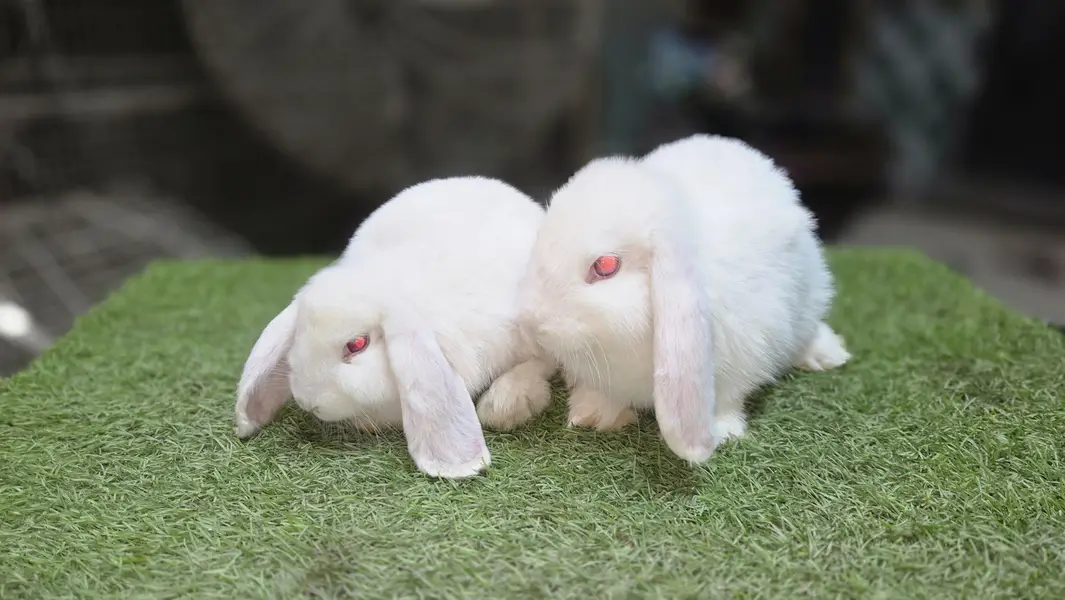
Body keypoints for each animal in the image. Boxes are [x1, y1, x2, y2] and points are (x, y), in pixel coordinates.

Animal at [503, 134, 850, 463]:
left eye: (605, 266)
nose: (530, 322)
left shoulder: (744, 353)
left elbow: (726, 398)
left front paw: (722, 433)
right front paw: (594, 415)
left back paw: (827, 355)